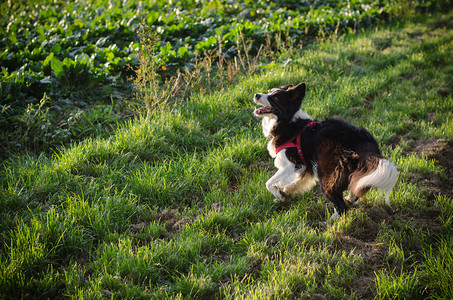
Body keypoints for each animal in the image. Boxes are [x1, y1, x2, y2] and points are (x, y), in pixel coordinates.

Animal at [252, 82, 398, 220]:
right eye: (269, 91)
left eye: (275, 97)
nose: (256, 95)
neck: (286, 121)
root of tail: (361, 142)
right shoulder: (305, 167)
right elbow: (296, 183)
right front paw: (284, 194)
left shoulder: (292, 164)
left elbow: (269, 183)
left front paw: (279, 194)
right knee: (357, 189)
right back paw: (349, 200)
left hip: (327, 173)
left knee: (341, 206)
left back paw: (328, 223)